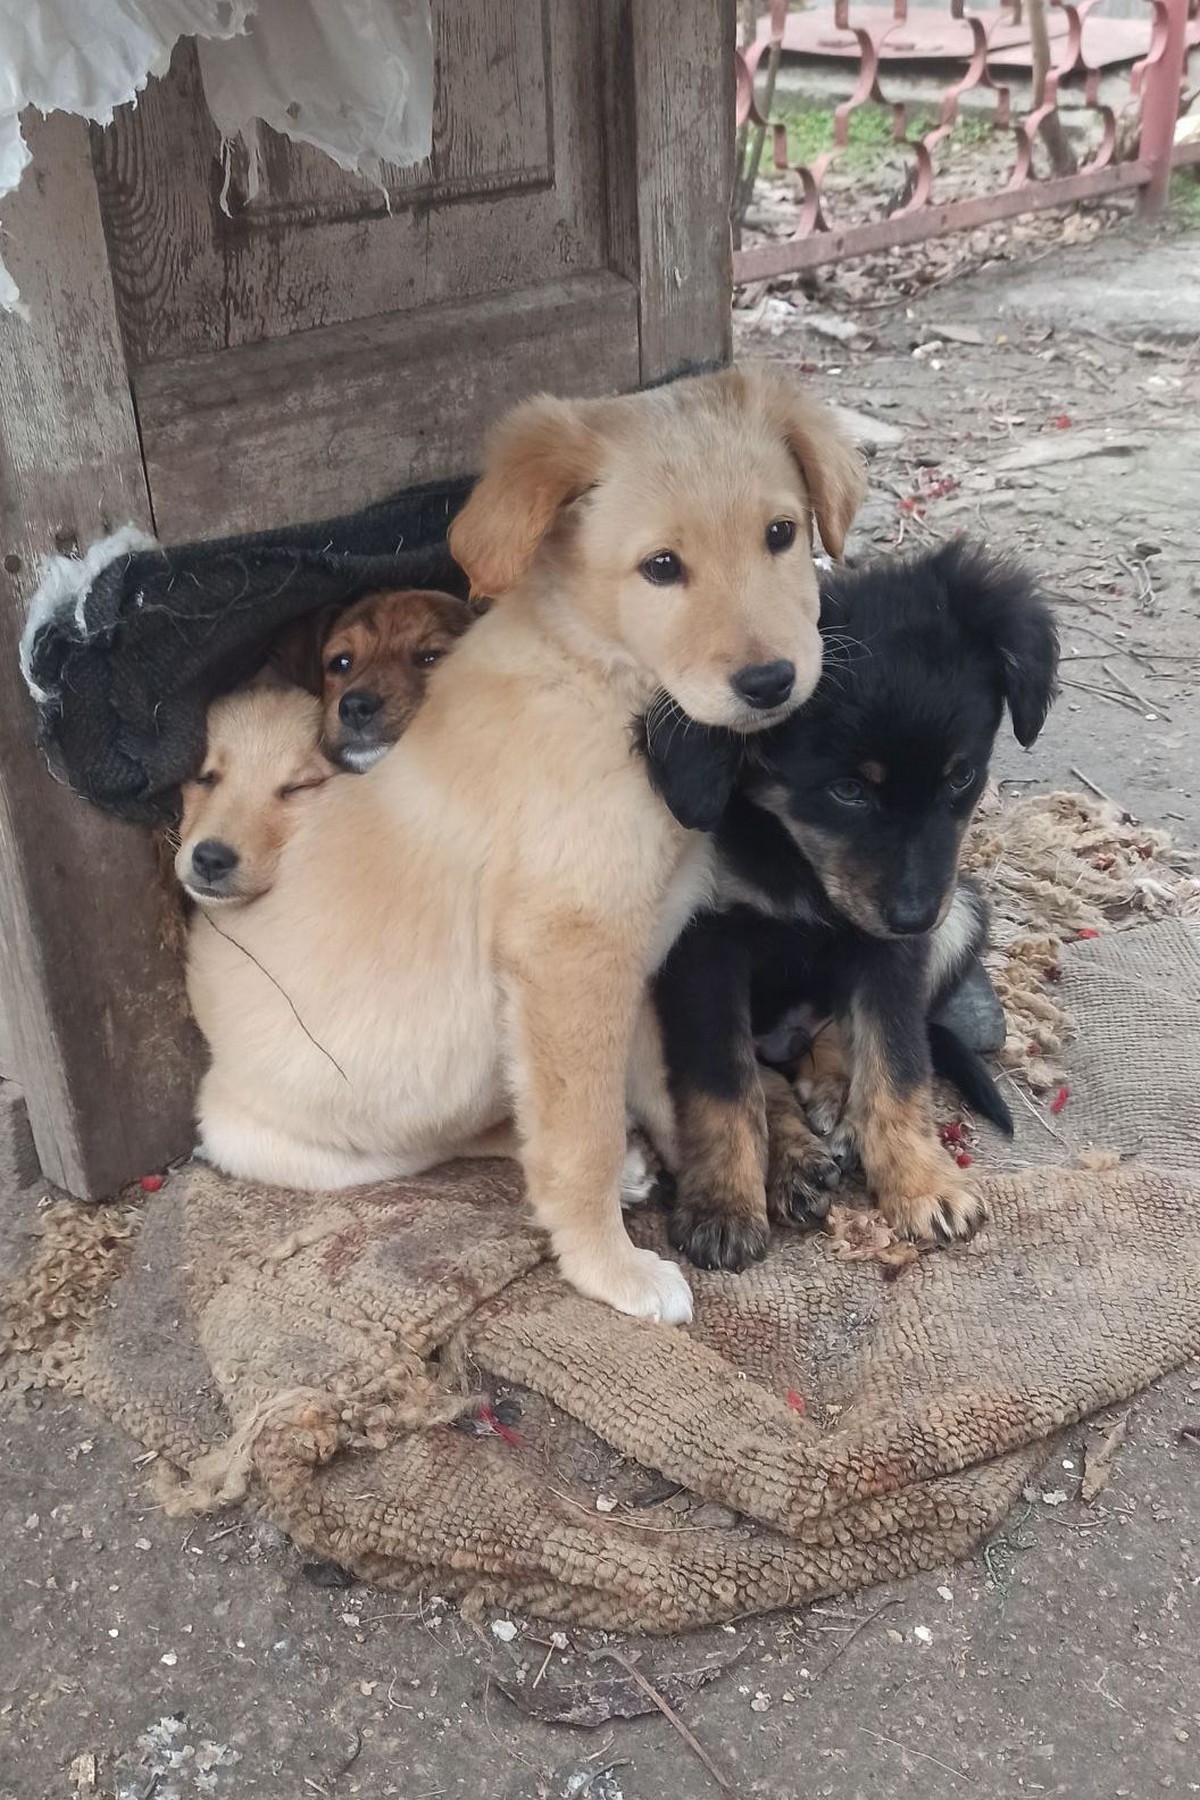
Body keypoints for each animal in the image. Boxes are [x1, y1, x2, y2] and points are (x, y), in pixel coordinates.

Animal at [647, 540, 1057, 1274]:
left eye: (961, 776)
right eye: (846, 790)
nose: (914, 916)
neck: (793, 855)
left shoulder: (889, 946)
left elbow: (897, 1063)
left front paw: (920, 1184)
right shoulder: (703, 944)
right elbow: (722, 1083)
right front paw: (723, 1204)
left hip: (962, 912)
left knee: (841, 1036)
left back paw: (837, 1108)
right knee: (764, 1071)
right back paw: (794, 1160)